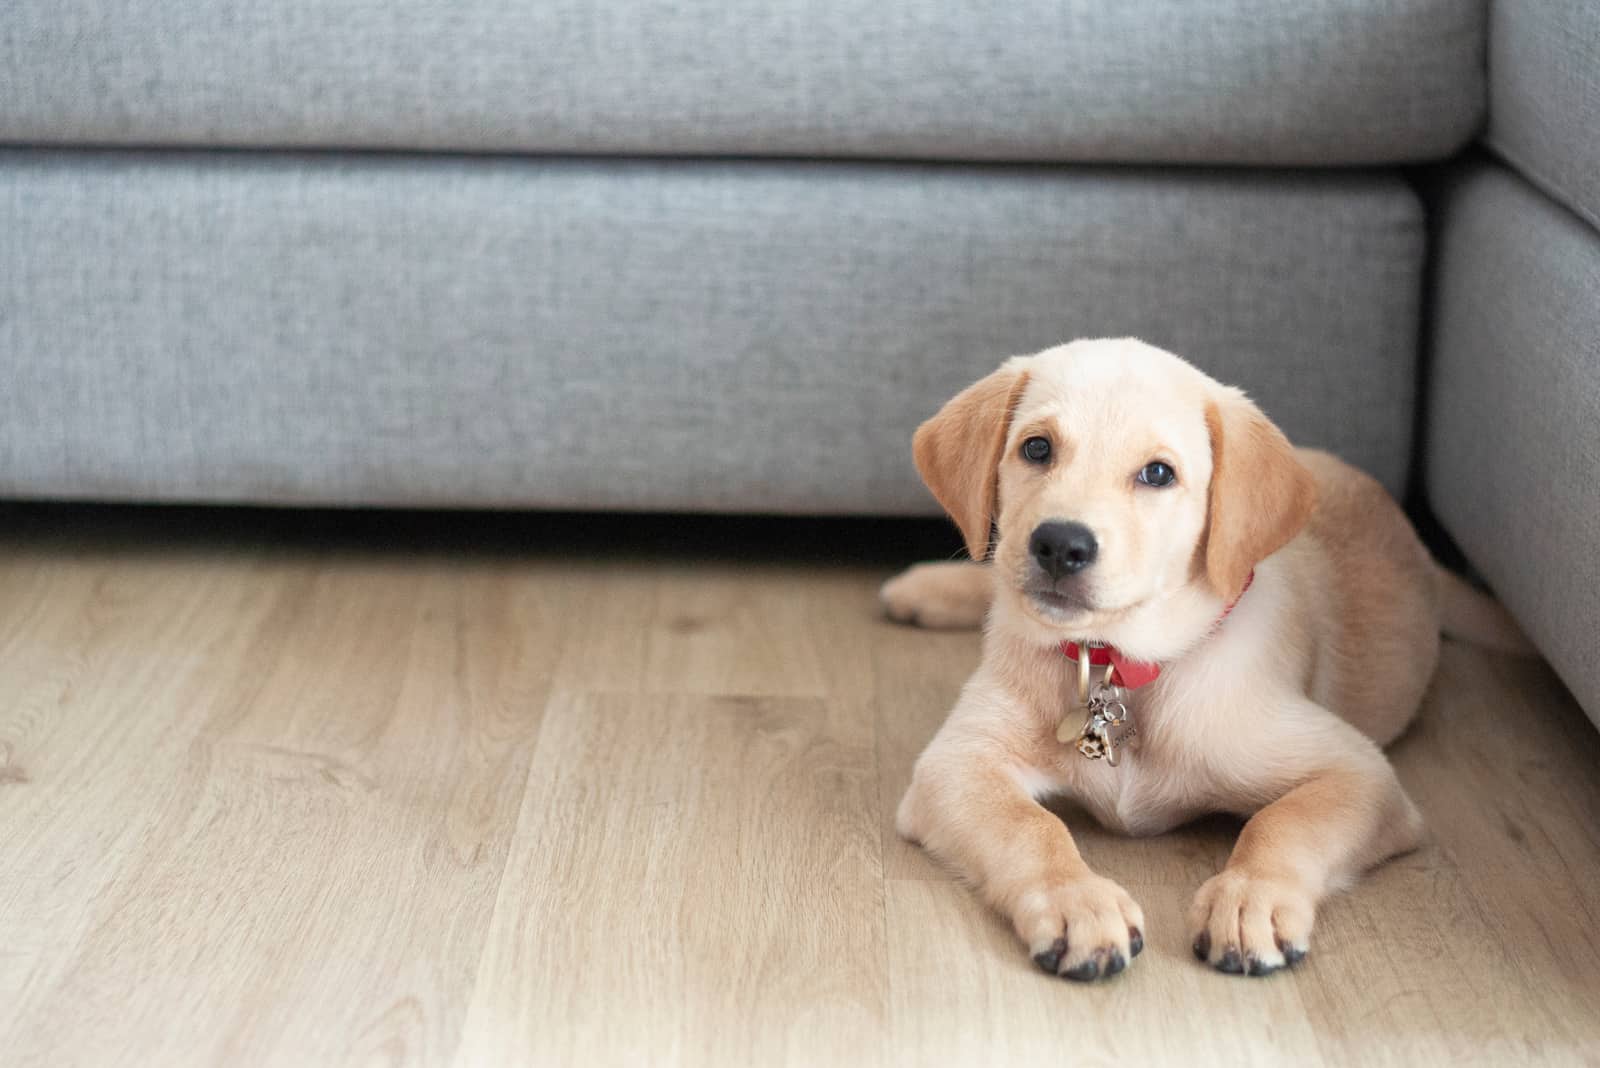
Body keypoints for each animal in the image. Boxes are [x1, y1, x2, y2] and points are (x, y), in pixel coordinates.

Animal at [889, 337, 1523, 978]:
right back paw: (922, 589)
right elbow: (1031, 826)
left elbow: (1281, 823)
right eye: (1036, 448)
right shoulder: (957, 764)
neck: (1120, 666)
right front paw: (1078, 903)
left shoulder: (1360, 774)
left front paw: (1249, 900)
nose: (1059, 545)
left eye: (1158, 473)